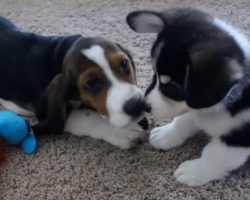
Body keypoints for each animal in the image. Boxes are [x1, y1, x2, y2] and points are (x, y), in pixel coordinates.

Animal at [0, 15, 149, 149]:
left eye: (124, 64)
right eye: (92, 83)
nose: (137, 105)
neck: (59, 55)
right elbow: (85, 117)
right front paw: (123, 132)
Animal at [128, 8, 250, 186]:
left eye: (173, 87)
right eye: (154, 74)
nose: (144, 106)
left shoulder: (238, 138)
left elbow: (215, 154)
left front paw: (195, 170)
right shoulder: (193, 108)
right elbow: (182, 122)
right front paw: (167, 135)